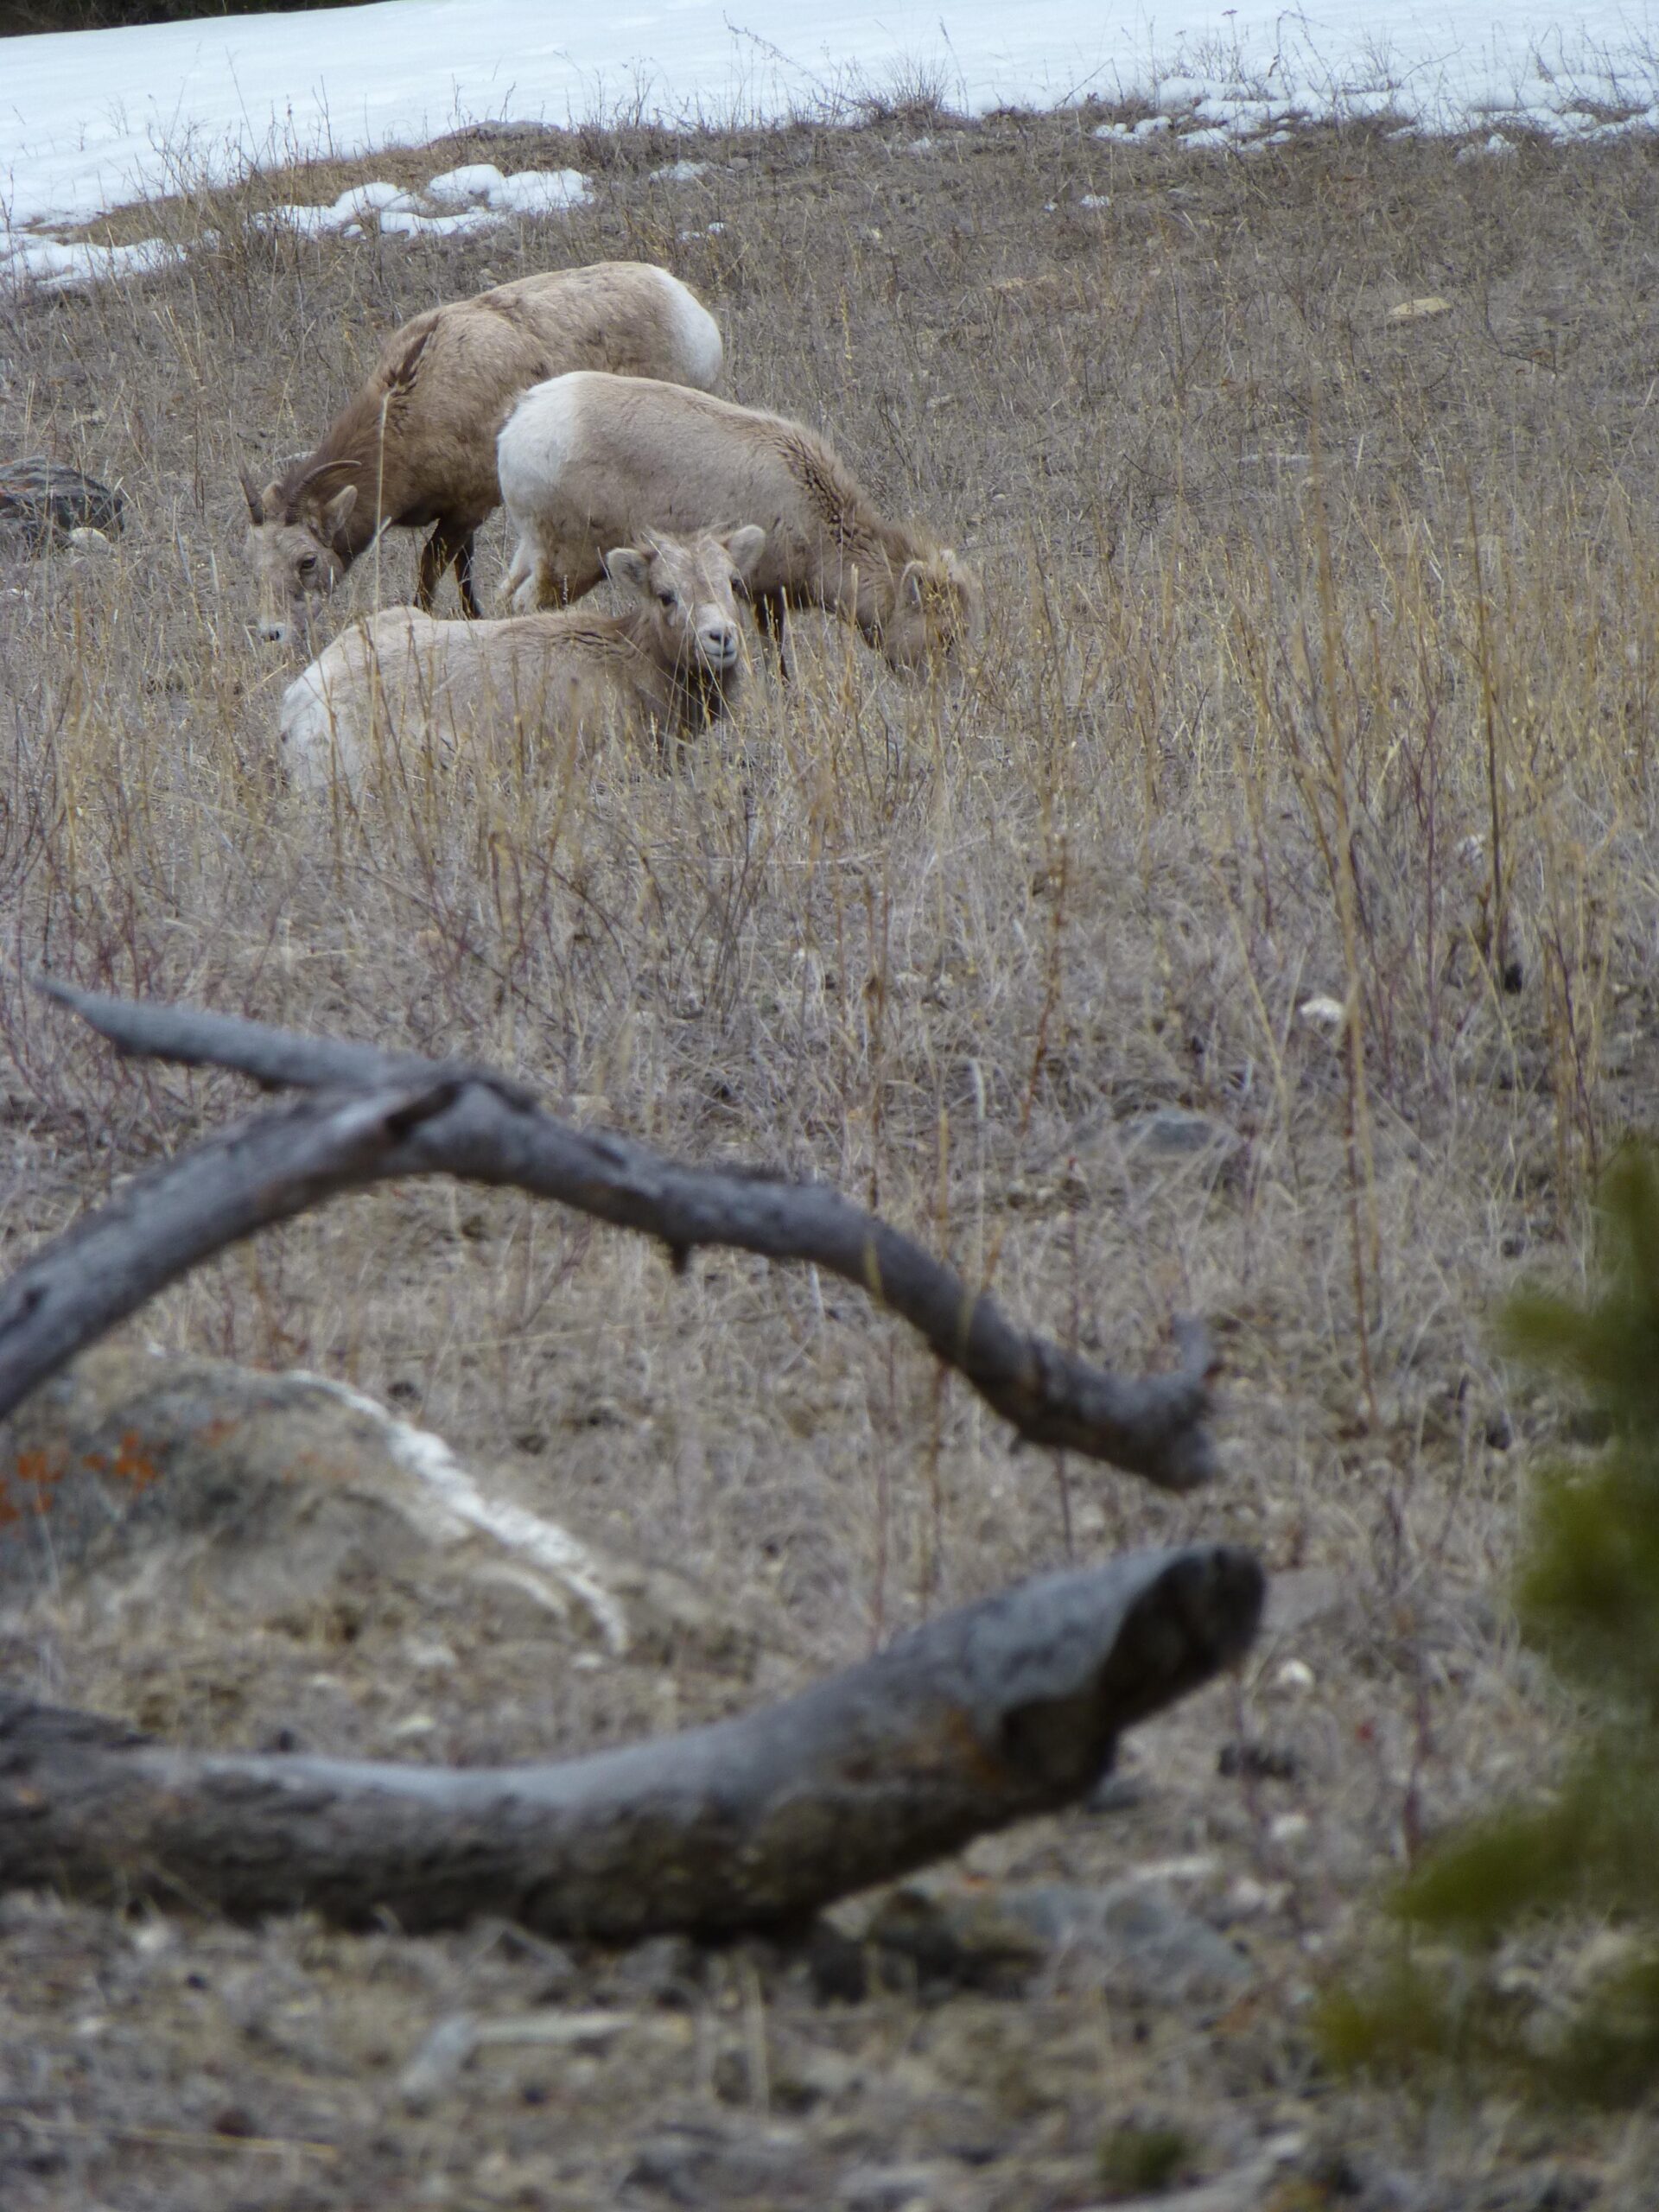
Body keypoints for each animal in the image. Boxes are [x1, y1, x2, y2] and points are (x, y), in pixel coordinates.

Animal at [241, 265, 723, 647]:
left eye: (307, 560)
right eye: (255, 563)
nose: (272, 633)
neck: (411, 410)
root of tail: (688, 305)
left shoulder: (468, 510)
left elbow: (432, 573)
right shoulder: (460, 519)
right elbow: (464, 575)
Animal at [497, 372, 981, 675]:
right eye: (946, 636)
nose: (954, 694)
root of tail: (518, 421)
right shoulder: (765, 597)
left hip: (532, 551)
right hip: (569, 564)